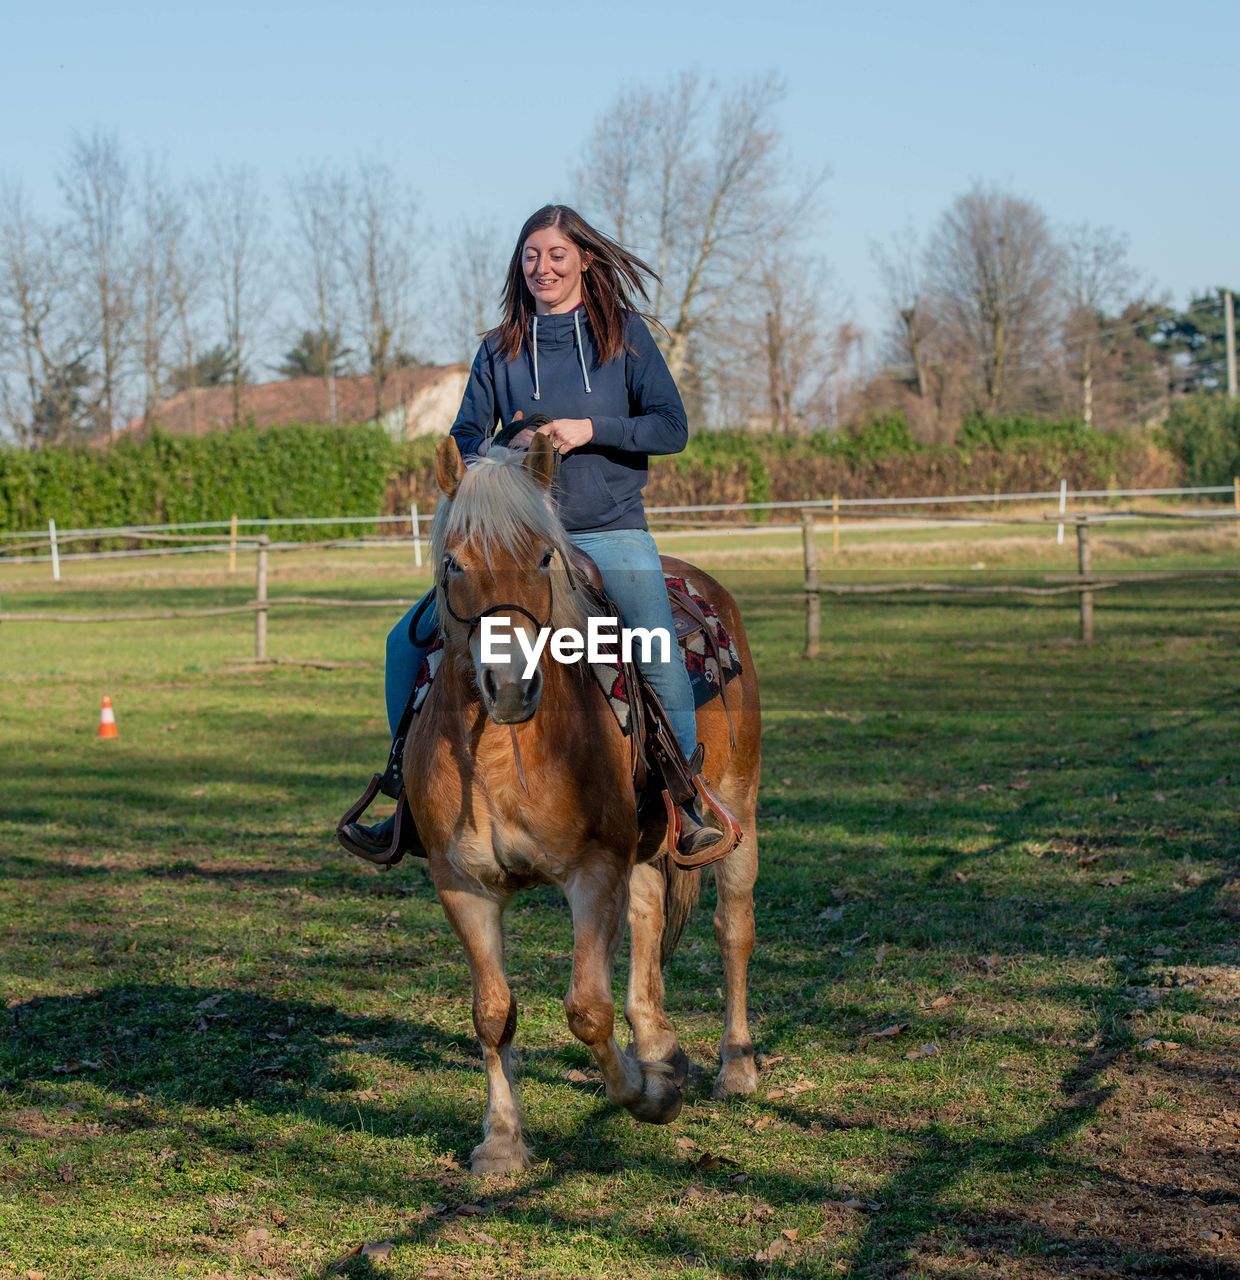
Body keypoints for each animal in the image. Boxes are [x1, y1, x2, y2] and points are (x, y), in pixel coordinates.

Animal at [406, 435, 757, 1172]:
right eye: (453, 563)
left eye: (543, 556)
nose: (511, 685)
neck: (504, 756)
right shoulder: (462, 884)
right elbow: (492, 1012)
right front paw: (502, 1141)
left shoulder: (593, 871)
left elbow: (587, 1009)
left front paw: (648, 1098)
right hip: (649, 843)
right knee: (650, 920)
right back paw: (660, 1047)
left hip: (741, 811)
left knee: (732, 928)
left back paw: (736, 1066)